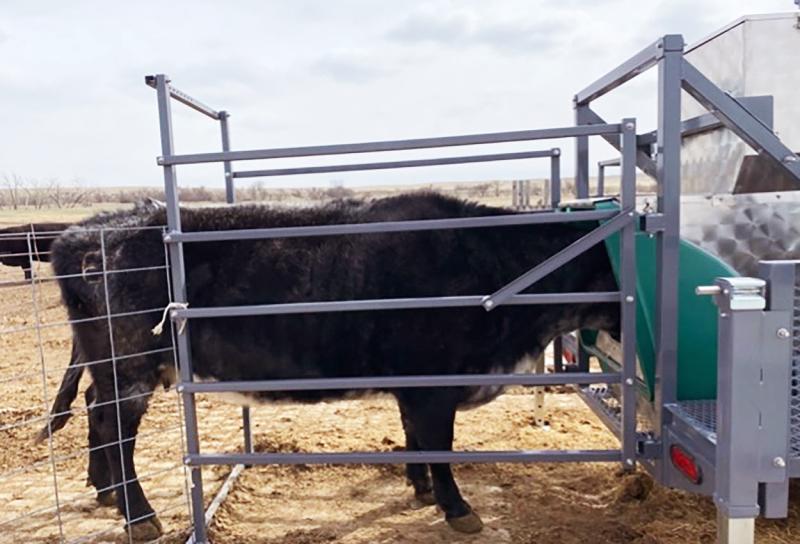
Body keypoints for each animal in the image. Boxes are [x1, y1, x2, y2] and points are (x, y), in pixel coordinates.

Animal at [43, 192, 620, 541]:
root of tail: (82, 233)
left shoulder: (415, 385)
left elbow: (415, 436)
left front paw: (421, 489)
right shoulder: (435, 383)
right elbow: (439, 444)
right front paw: (457, 509)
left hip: (111, 366)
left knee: (95, 411)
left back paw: (105, 494)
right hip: (130, 366)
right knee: (114, 426)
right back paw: (139, 516)